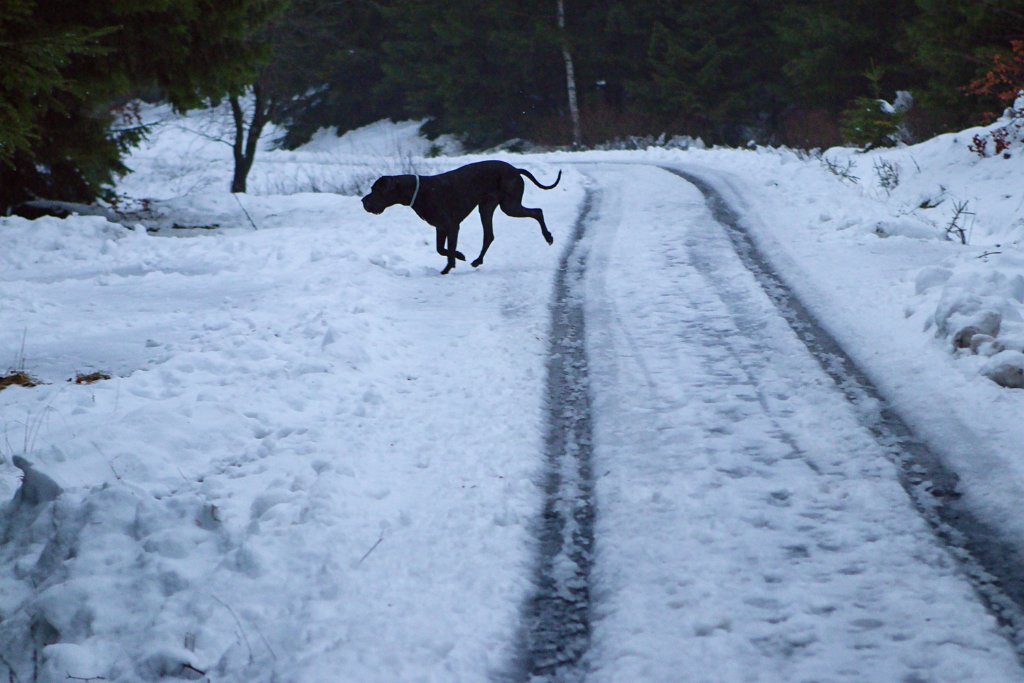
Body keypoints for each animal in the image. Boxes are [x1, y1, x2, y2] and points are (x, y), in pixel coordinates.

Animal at [362, 160, 561, 274]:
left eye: (376, 190)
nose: (363, 200)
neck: (418, 191)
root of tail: (516, 169)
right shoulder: (440, 227)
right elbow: (441, 249)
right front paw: (460, 255)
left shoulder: (451, 226)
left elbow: (448, 250)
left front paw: (448, 268)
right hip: (486, 207)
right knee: (489, 235)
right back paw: (477, 260)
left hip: (509, 206)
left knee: (537, 211)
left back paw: (548, 237)